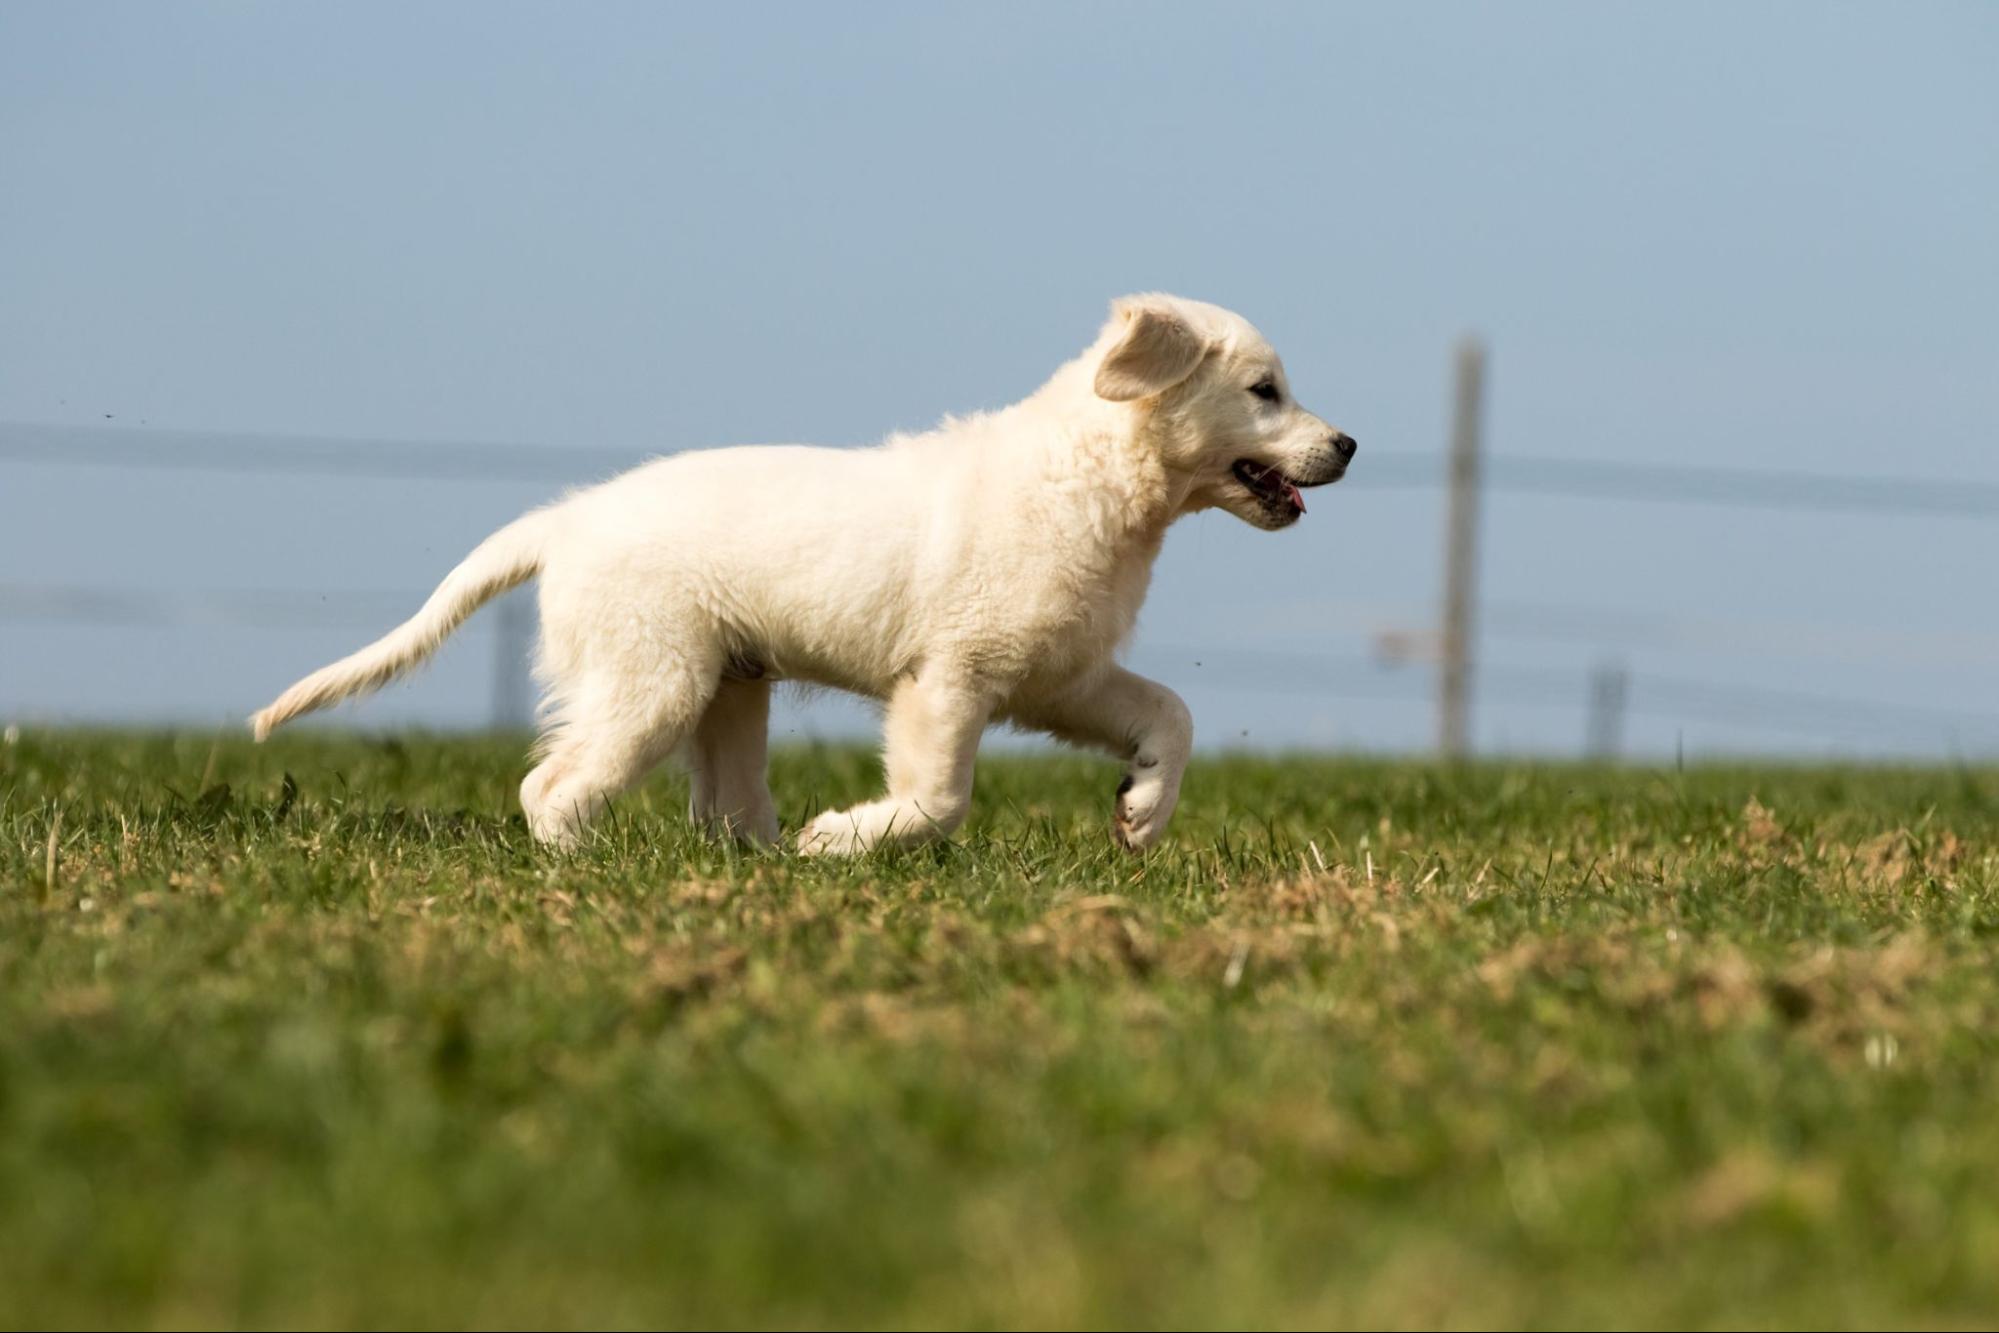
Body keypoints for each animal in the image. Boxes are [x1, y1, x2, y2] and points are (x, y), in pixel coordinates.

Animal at [241, 293, 1351, 855]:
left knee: (721, 808)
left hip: (727, 690)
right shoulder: (949, 679)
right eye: (1264, 390)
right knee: (550, 785)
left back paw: (756, 868)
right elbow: (940, 797)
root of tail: (566, 519)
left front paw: (1141, 809)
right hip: (651, 681)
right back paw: (588, 875)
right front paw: (848, 838)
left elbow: (1173, 712)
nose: (1346, 445)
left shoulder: (1057, 674)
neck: (1088, 477)